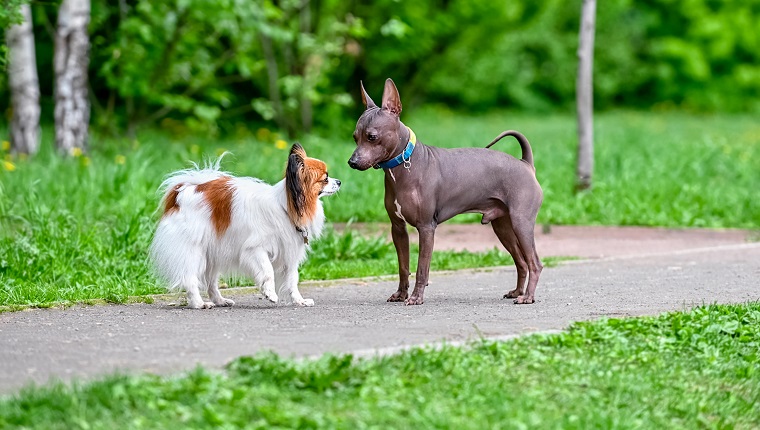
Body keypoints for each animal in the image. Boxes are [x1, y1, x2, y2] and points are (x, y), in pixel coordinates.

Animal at [150, 144, 340, 310]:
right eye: (325, 178)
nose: (339, 181)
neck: (286, 207)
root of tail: (182, 192)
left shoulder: (288, 253)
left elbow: (292, 281)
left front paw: (299, 301)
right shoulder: (255, 250)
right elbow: (268, 271)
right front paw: (270, 294)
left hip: (212, 253)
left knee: (211, 282)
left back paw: (220, 301)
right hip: (194, 251)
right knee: (190, 279)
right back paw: (199, 304)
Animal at [348, 78, 544, 306]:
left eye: (372, 137)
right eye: (355, 137)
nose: (352, 162)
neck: (404, 165)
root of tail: (526, 164)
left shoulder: (426, 228)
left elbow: (421, 269)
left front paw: (416, 297)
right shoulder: (398, 229)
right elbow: (403, 267)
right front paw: (401, 294)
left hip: (521, 223)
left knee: (534, 262)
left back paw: (528, 296)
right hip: (503, 226)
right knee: (521, 261)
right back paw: (517, 292)